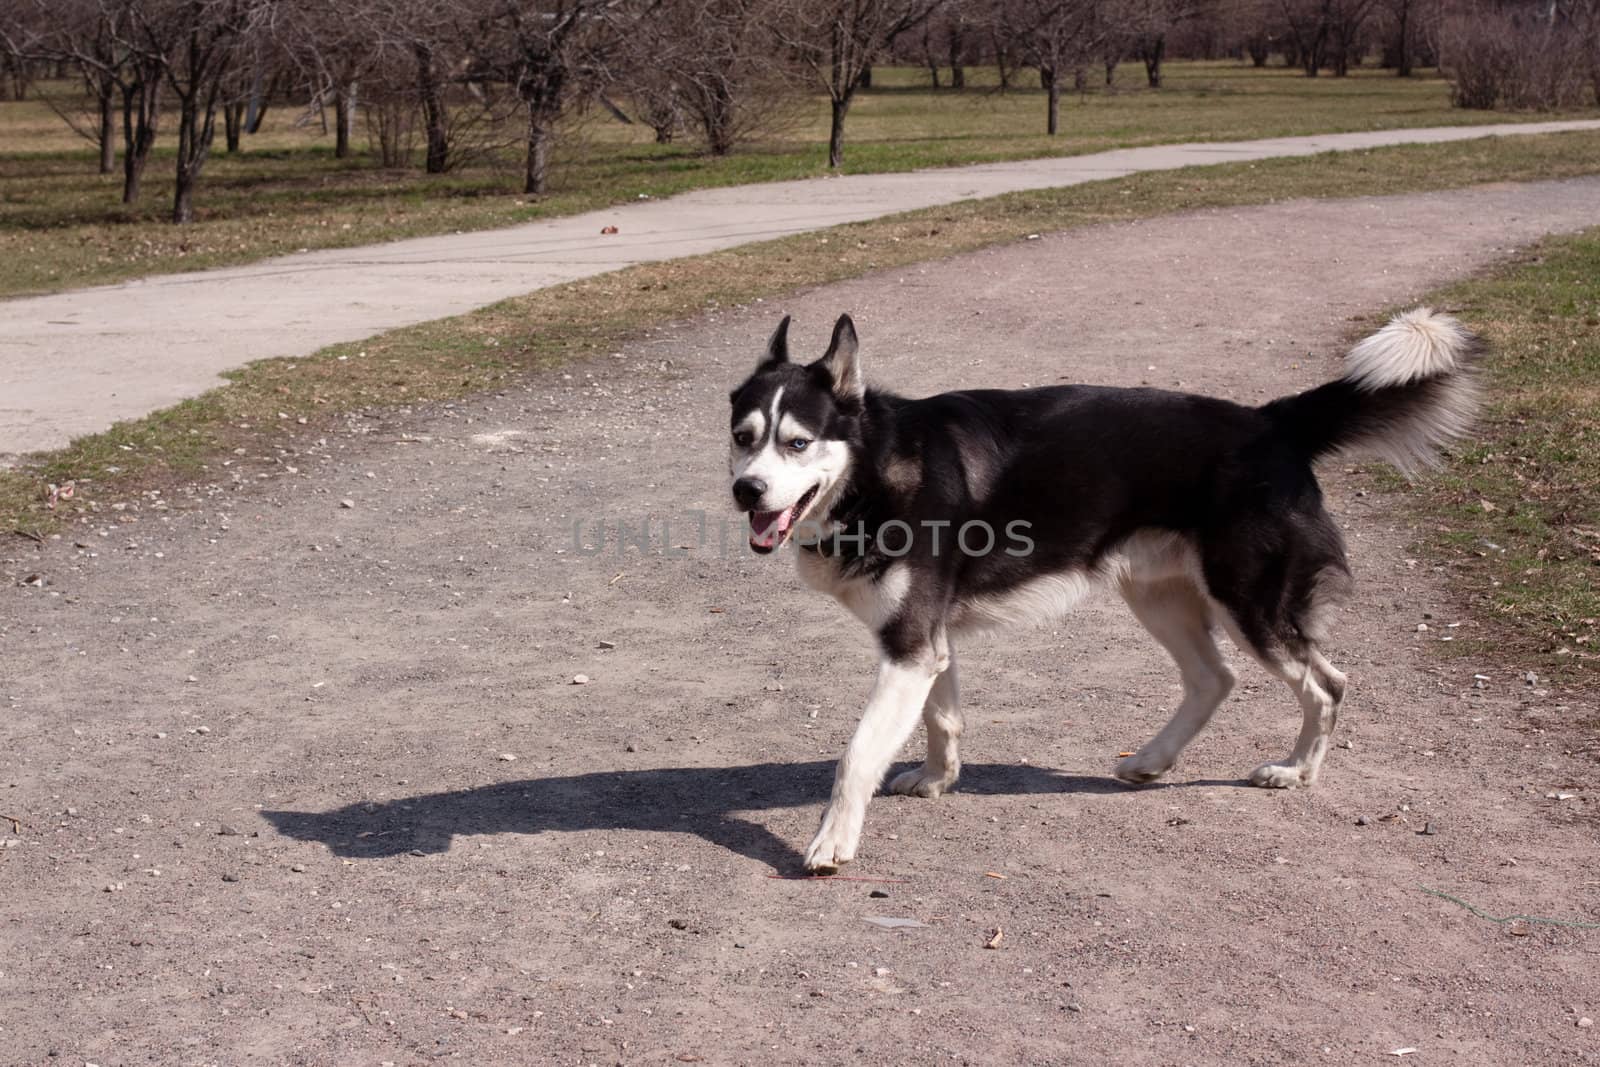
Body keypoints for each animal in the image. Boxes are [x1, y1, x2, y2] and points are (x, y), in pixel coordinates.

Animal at [732, 310, 1478, 876]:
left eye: (797, 443)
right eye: (744, 437)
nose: (746, 490)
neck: (875, 469)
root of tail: (1271, 421)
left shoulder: (910, 646)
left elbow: (856, 754)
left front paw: (833, 841)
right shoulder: (924, 646)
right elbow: (943, 719)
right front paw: (939, 780)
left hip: (1250, 606)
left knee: (1327, 683)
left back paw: (1296, 770)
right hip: (1160, 596)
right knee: (1215, 678)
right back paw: (1151, 760)